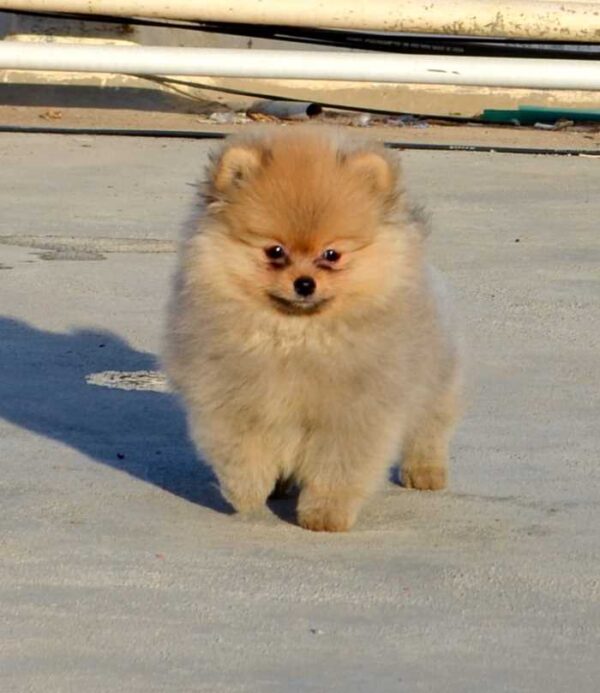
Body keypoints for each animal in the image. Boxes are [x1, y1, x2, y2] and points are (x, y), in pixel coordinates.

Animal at [164, 127, 464, 532]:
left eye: (331, 255)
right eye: (275, 251)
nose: (305, 284)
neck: (296, 336)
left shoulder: (351, 413)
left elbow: (337, 470)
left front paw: (324, 515)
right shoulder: (231, 399)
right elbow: (241, 454)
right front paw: (248, 494)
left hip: (435, 380)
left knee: (430, 426)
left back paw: (425, 471)